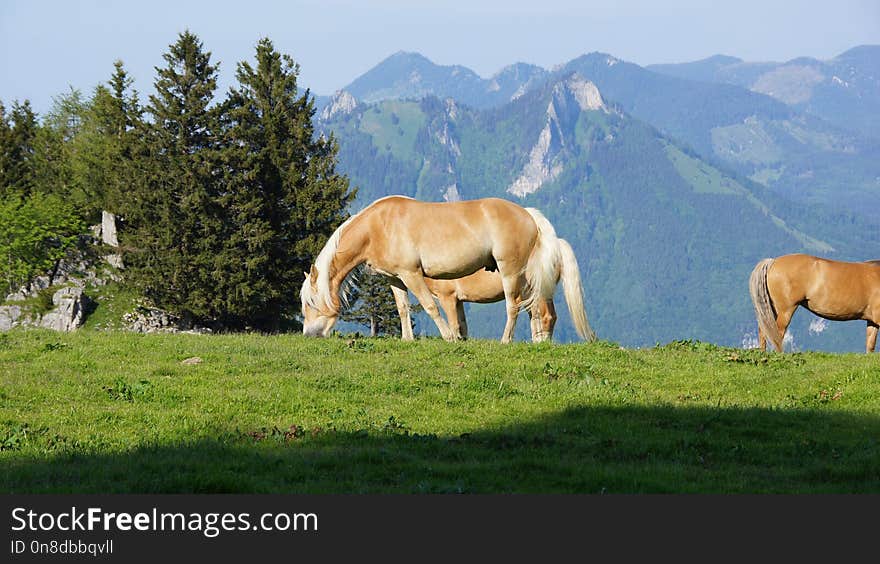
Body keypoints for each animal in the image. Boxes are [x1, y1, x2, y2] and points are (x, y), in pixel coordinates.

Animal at [300, 196, 560, 342]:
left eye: (311, 303)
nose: (309, 334)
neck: (377, 227)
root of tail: (528, 214)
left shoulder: (412, 274)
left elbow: (429, 306)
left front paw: (449, 337)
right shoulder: (395, 279)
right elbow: (403, 309)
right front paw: (407, 340)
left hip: (510, 272)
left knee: (513, 306)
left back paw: (505, 341)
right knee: (533, 309)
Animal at [394, 236, 596, 342]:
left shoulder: (448, 297)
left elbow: (453, 323)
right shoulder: (459, 301)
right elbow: (463, 325)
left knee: (547, 316)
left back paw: (541, 342)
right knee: (538, 316)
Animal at [748, 254, 880, 352]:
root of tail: (773, 262)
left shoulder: (872, 322)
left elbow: (870, 345)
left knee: (764, 331)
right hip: (785, 310)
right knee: (777, 334)